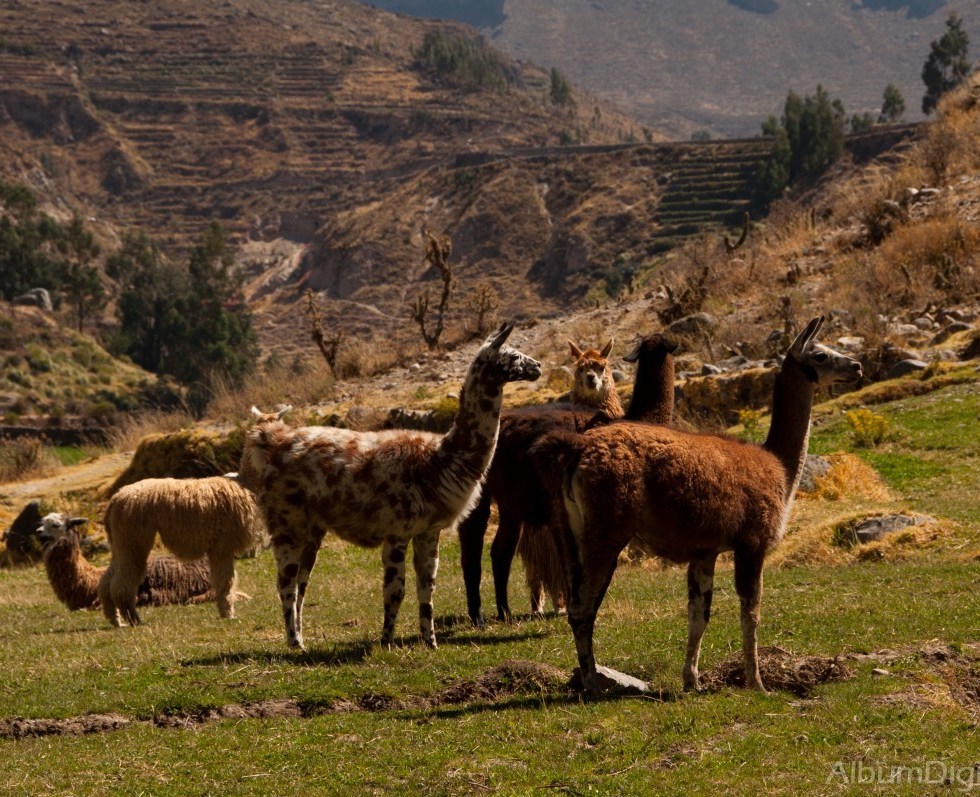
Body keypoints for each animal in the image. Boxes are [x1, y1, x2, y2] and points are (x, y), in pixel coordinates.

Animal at [98, 474, 266, 627]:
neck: (245, 483)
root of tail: (115, 498)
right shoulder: (223, 545)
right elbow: (226, 580)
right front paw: (228, 614)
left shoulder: (219, 548)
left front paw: (225, 612)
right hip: (132, 539)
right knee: (121, 584)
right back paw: (134, 620)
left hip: (120, 542)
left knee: (107, 580)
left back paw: (116, 620)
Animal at [240, 321, 542, 650]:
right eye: (513, 355)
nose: (538, 366)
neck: (440, 458)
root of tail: (274, 440)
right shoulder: (397, 529)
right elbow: (395, 590)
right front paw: (386, 641)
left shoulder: (428, 530)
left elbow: (427, 588)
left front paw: (430, 642)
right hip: (286, 520)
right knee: (286, 583)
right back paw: (295, 644)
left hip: (312, 528)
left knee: (301, 584)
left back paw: (301, 640)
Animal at [459, 332, 678, 624]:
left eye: (603, 366)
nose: (592, 379)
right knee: (474, 551)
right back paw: (482, 616)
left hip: (510, 503)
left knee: (498, 551)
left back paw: (502, 613)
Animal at [534, 316, 862, 695]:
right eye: (821, 355)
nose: (856, 367)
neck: (778, 465)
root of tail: (576, 451)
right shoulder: (751, 542)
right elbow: (751, 611)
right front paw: (757, 683)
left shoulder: (705, 550)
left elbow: (698, 614)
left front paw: (693, 679)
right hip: (606, 529)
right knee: (582, 607)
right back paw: (592, 684)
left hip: (571, 533)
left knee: (578, 601)